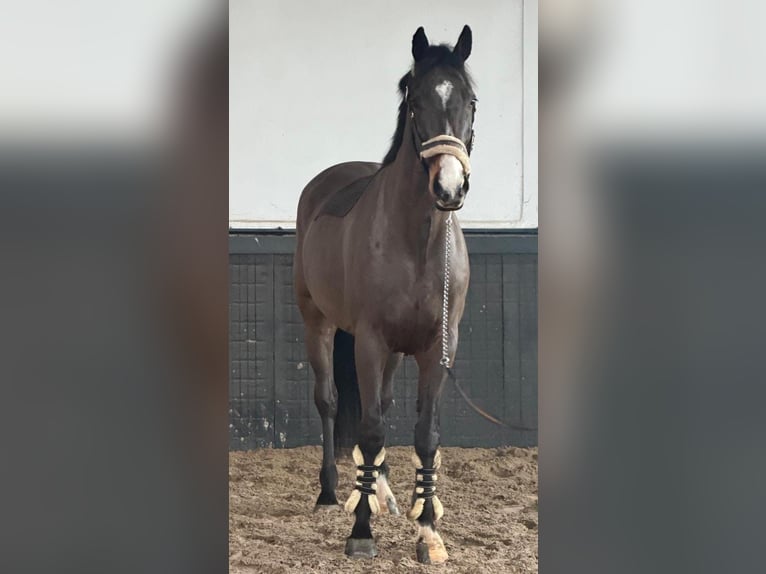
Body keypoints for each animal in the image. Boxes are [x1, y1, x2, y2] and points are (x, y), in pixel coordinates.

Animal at [294, 25, 476, 564]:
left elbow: (424, 433)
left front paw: (428, 530)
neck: (418, 243)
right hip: (318, 323)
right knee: (330, 401)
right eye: (415, 103)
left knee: (385, 406)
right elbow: (370, 428)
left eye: (471, 101)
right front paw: (360, 530)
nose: (448, 188)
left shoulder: (437, 346)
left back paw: (382, 490)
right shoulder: (370, 342)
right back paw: (330, 491)